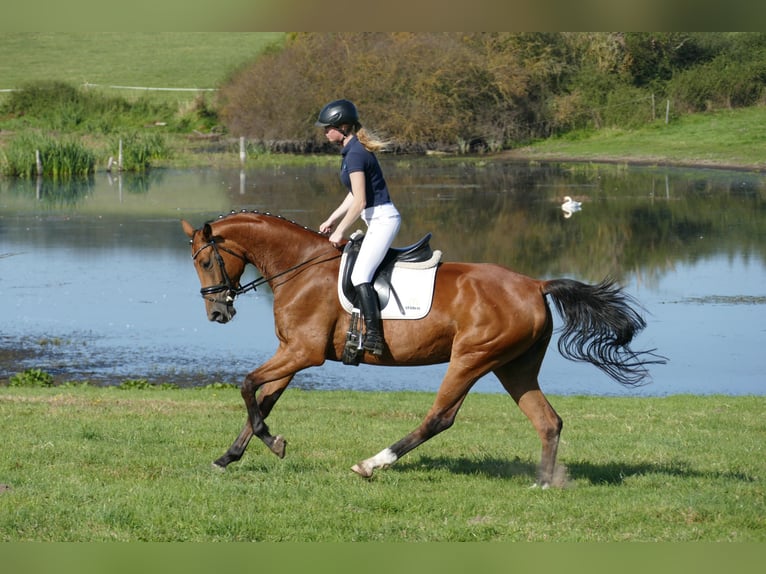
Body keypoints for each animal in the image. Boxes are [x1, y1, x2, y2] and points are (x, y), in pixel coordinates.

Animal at [182, 209, 664, 488]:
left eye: (205, 261)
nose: (217, 312)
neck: (299, 266)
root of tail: (535, 284)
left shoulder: (303, 353)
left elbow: (248, 386)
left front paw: (272, 442)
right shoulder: (292, 354)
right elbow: (263, 398)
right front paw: (230, 456)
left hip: (472, 358)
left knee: (440, 418)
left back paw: (373, 463)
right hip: (514, 367)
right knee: (548, 421)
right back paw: (545, 483)